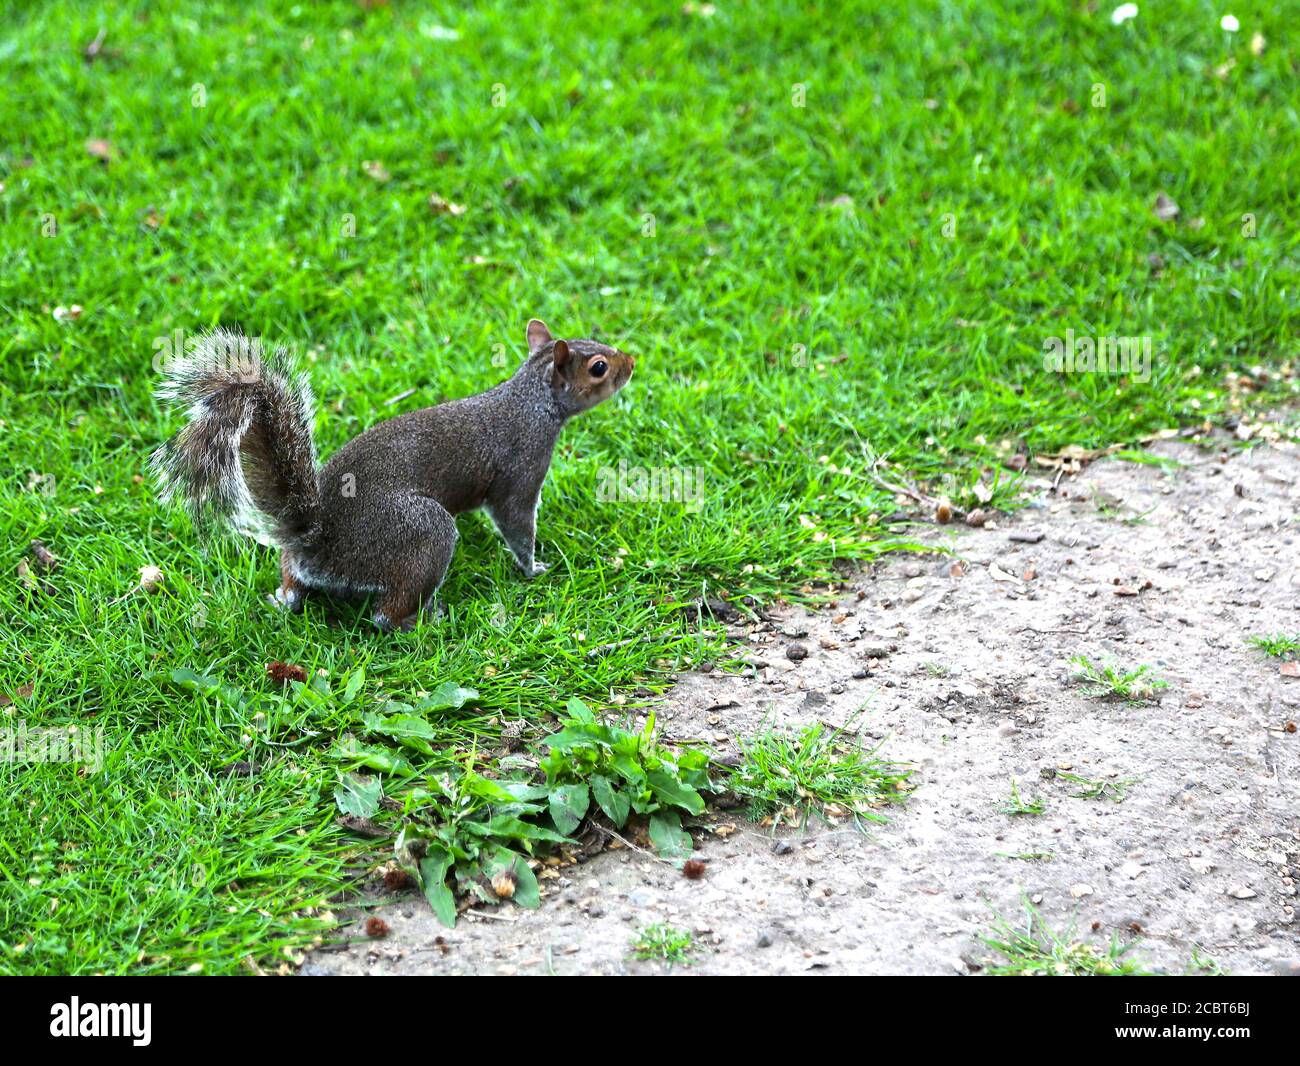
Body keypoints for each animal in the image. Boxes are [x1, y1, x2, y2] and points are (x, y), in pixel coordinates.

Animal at [152, 315, 634, 631]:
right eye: (598, 368)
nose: (631, 362)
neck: (532, 399)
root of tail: (319, 543)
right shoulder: (522, 467)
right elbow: (516, 522)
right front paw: (534, 568)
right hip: (422, 535)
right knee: (385, 613)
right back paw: (421, 621)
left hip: (303, 567)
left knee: (293, 586)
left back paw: (283, 597)